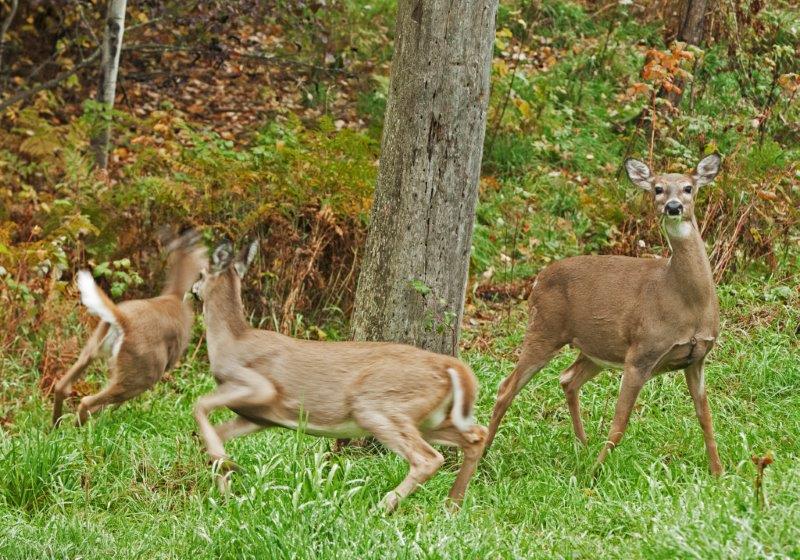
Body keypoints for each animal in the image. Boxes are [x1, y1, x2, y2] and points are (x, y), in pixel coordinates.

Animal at [52, 230, 208, 426]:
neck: (175, 295)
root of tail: (122, 319)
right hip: (144, 371)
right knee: (89, 401)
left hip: (93, 347)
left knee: (62, 386)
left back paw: (56, 427)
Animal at [190, 241, 487, 512]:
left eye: (201, 273)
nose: (193, 289)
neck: (230, 342)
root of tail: (450, 366)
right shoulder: (260, 417)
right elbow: (218, 432)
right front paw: (225, 484)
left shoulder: (260, 386)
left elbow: (199, 405)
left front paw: (226, 472)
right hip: (426, 418)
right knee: (476, 436)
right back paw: (452, 504)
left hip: (377, 407)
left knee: (428, 457)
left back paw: (383, 506)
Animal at [484, 154, 724, 476]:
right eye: (658, 189)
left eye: (688, 187)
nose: (673, 207)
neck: (686, 300)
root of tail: (537, 280)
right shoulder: (641, 353)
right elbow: (619, 422)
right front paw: (595, 473)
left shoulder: (697, 357)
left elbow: (705, 416)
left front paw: (719, 472)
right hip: (543, 329)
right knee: (505, 387)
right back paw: (483, 455)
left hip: (595, 348)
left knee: (567, 378)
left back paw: (582, 446)